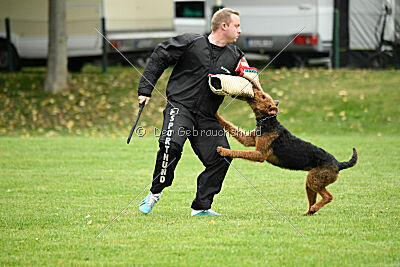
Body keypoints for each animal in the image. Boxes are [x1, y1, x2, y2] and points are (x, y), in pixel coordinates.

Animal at [217, 86, 358, 216]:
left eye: (263, 96)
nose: (254, 87)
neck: (269, 121)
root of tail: (339, 164)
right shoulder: (248, 140)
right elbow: (230, 126)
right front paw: (216, 115)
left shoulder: (260, 154)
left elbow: (239, 152)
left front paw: (223, 150)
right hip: (310, 183)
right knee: (314, 199)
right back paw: (309, 211)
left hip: (314, 179)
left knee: (329, 196)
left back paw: (314, 208)